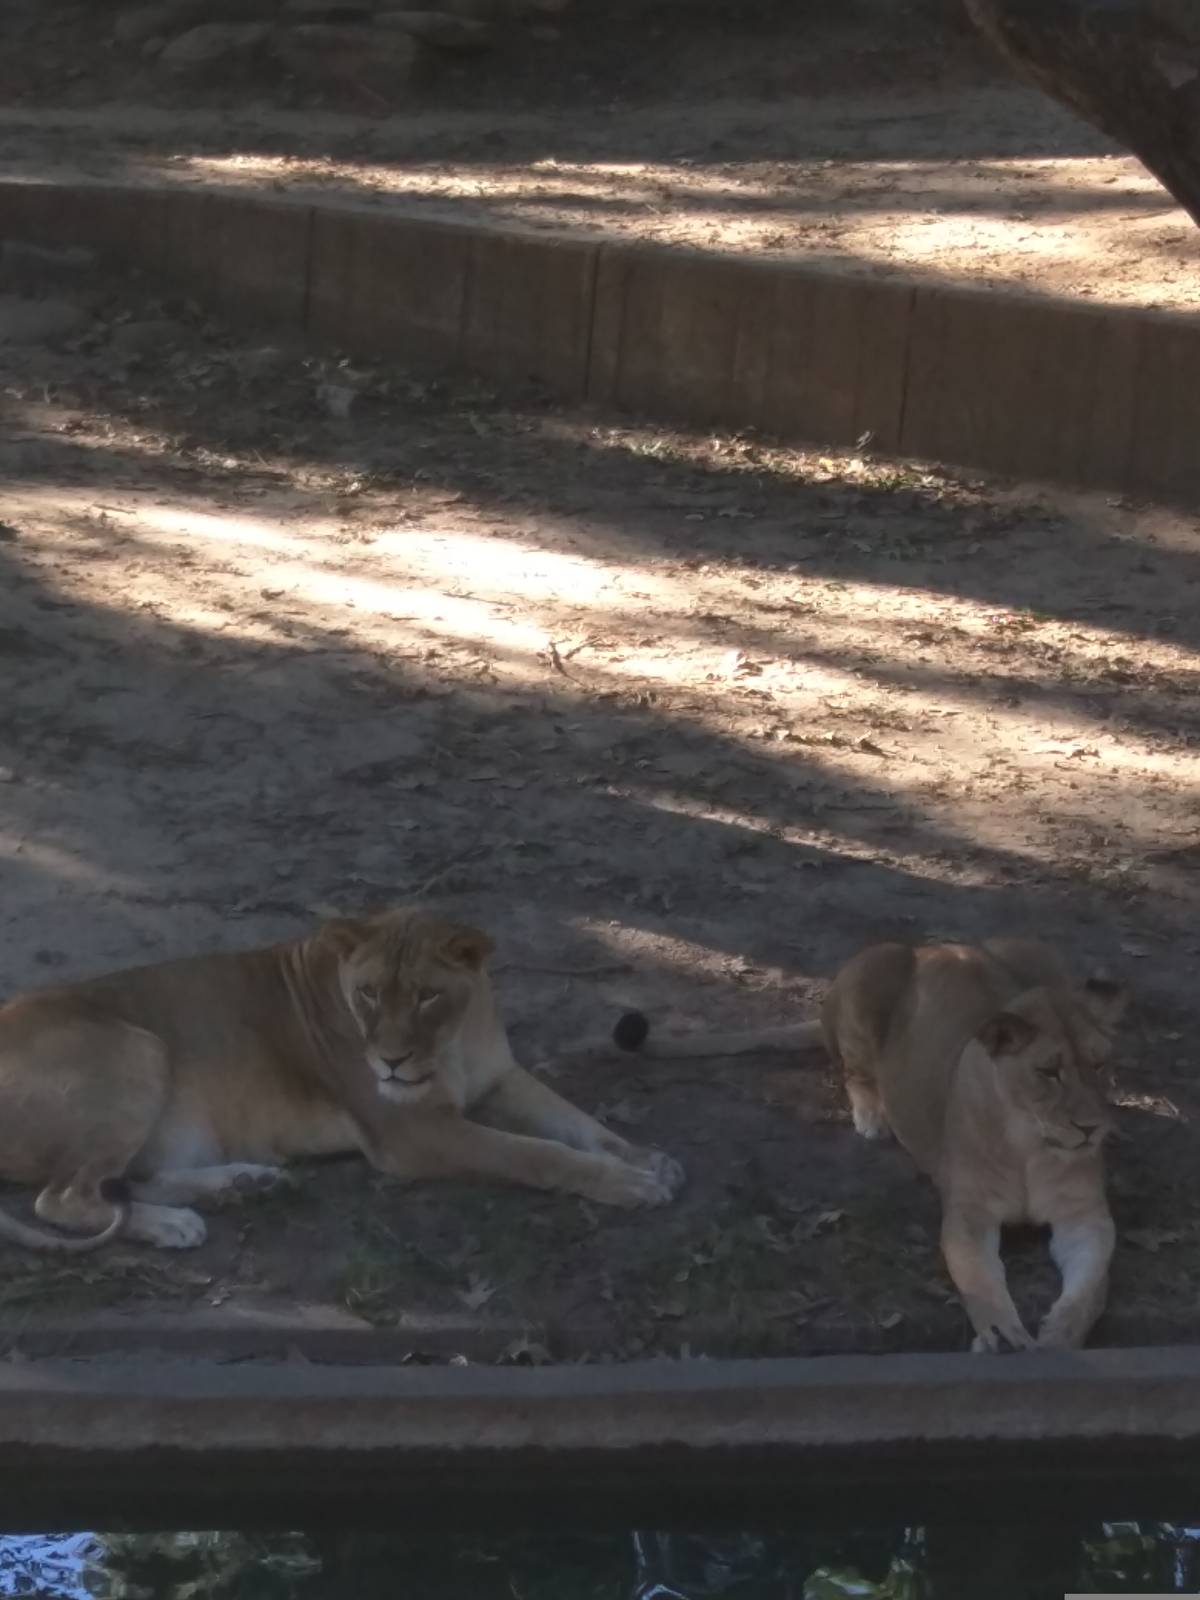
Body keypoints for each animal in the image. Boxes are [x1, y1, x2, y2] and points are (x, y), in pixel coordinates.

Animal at [0, 906, 684, 1253]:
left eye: (428, 995)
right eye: (370, 993)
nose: (391, 1062)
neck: (453, 1043)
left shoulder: (500, 1079)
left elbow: (579, 1122)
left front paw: (646, 1158)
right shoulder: (414, 1135)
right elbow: (538, 1154)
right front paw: (628, 1184)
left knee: (125, 1179)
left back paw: (241, 1186)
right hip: (140, 1049)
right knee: (62, 1198)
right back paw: (174, 1226)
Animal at [608, 938, 1126, 1352]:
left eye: (1100, 1064)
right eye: (1048, 1072)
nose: (1091, 1128)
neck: (1030, 1147)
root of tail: (935, 945)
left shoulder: (1085, 1219)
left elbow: (1089, 1292)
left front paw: (1058, 1337)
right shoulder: (968, 1217)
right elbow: (981, 1282)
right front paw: (1001, 1336)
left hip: (1035, 949)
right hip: (871, 974)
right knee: (853, 1071)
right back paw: (873, 1116)